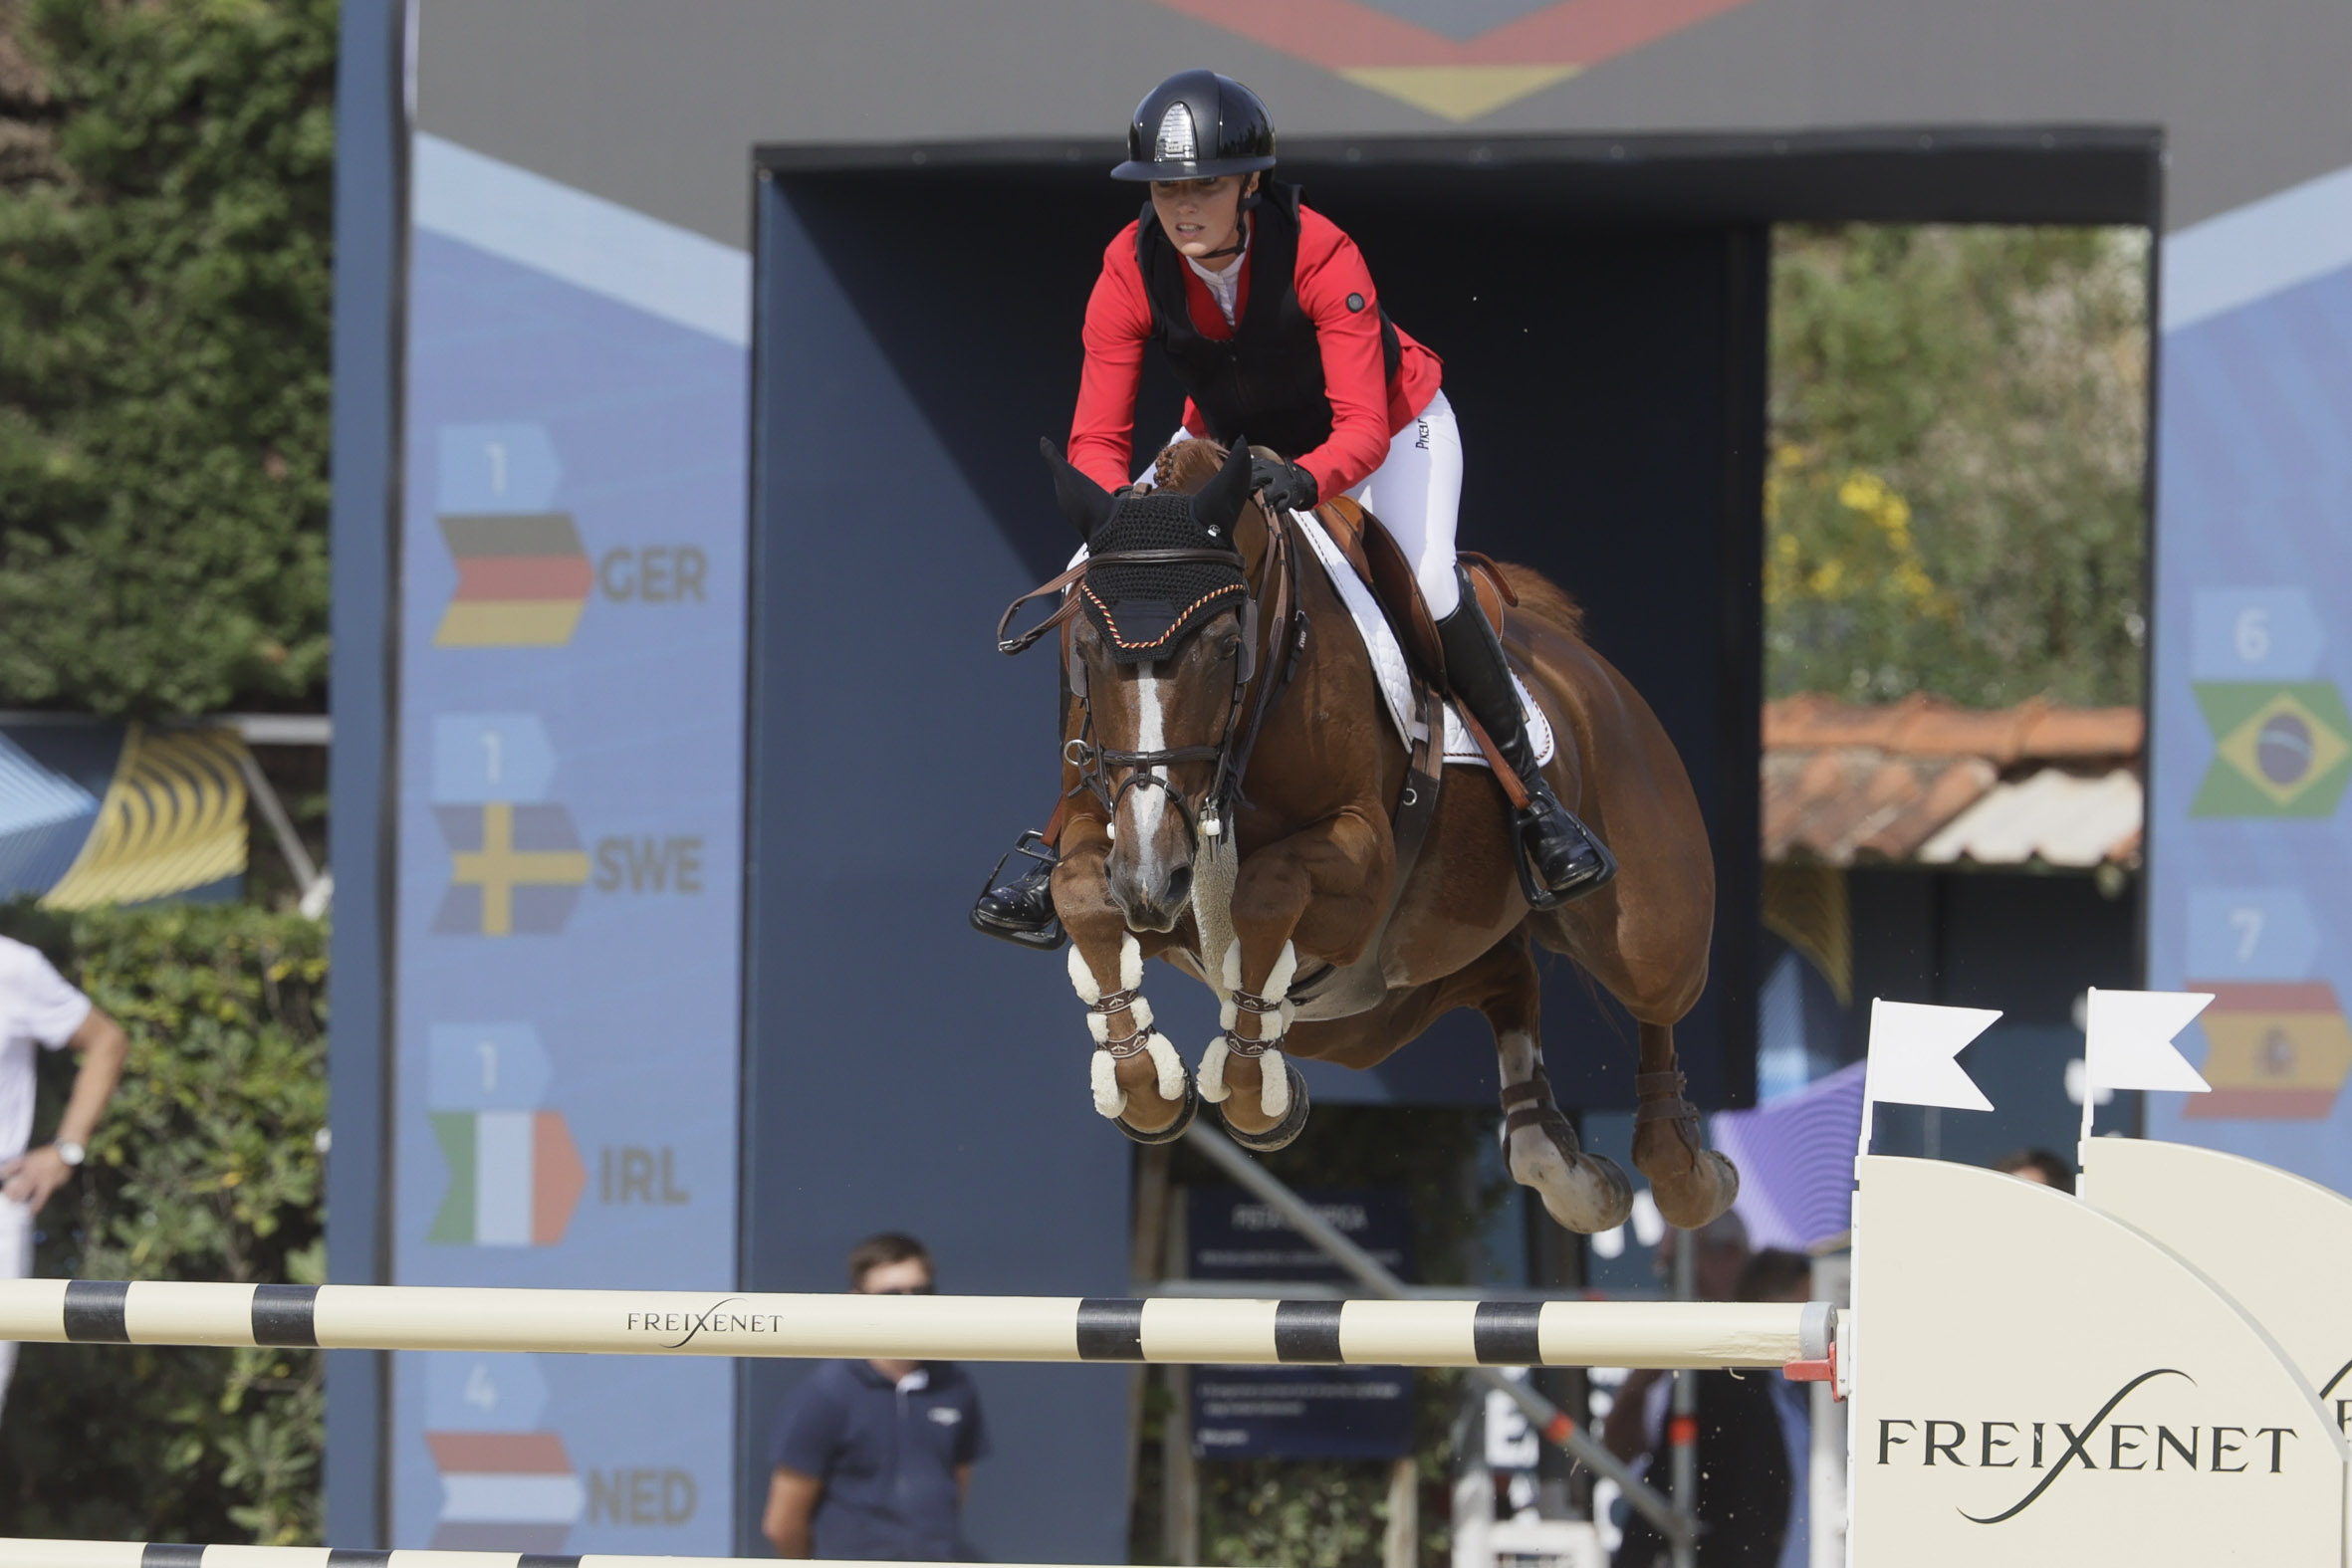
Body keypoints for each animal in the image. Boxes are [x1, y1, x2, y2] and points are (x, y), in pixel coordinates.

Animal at [1021, 434, 1740, 1232]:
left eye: (1226, 644)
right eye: (1085, 645)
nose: (1153, 883)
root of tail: (1577, 658)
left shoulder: (1360, 862)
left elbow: (1267, 891)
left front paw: (1253, 1097)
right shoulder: (1114, 836)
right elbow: (1080, 892)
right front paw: (1149, 1090)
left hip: (1648, 927)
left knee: (1656, 1004)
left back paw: (1681, 1170)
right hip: (1376, 1014)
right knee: (1508, 979)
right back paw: (1561, 1161)